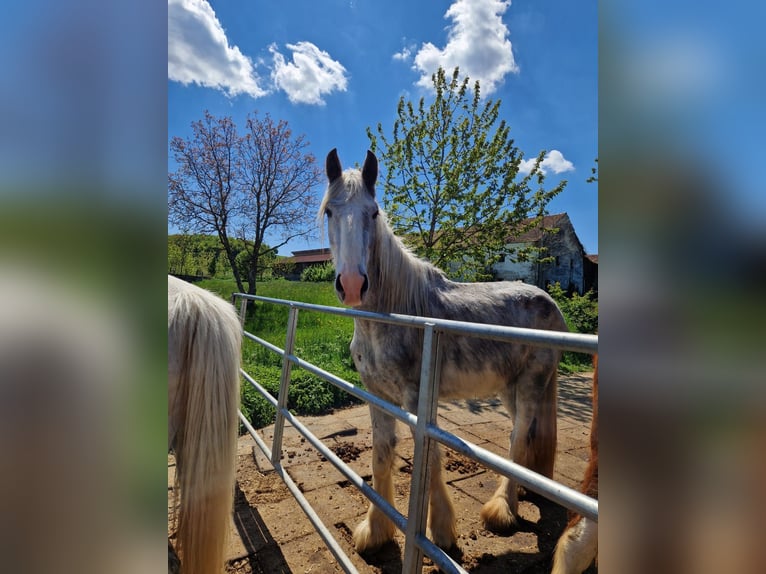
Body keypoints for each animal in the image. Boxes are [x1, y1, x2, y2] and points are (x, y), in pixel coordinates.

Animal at [319, 149, 569, 553]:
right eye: (329, 211)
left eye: (373, 212)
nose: (353, 284)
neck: (393, 313)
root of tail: (550, 304)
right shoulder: (377, 395)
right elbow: (381, 455)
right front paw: (376, 531)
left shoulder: (418, 397)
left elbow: (431, 459)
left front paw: (440, 532)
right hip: (510, 388)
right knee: (526, 434)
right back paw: (522, 494)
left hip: (532, 383)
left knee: (518, 438)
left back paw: (501, 510)